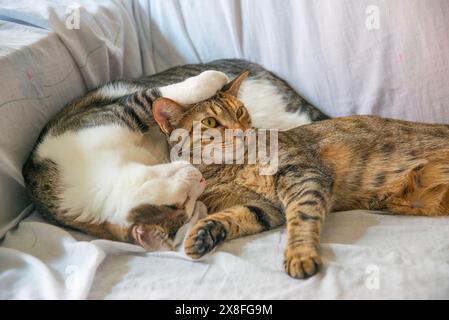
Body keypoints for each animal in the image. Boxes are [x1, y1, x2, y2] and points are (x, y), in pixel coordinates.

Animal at [152, 72, 448, 278]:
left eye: (240, 111)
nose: (241, 131)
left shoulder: (303, 174)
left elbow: (303, 216)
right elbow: (236, 216)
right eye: (210, 122)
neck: (228, 169)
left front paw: (300, 255)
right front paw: (203, 235)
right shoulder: (266, 207)